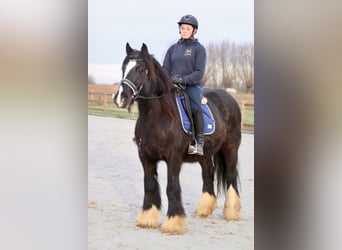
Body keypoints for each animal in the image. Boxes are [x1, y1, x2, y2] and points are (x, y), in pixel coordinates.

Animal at [113, 43, 242, 234]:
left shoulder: (173, 158)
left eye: (140, 69)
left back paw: (232, 212)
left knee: (231, 175)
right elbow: (149, 185)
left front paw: (174, 222)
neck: (158, 118)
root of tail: (229, 98)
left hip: (230, 148)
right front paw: (147, 218)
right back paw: (204, 209)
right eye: (124, 67)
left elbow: (172, 187)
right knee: (208, 174)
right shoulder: (145, 157)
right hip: (205, 154)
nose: (120, 98)